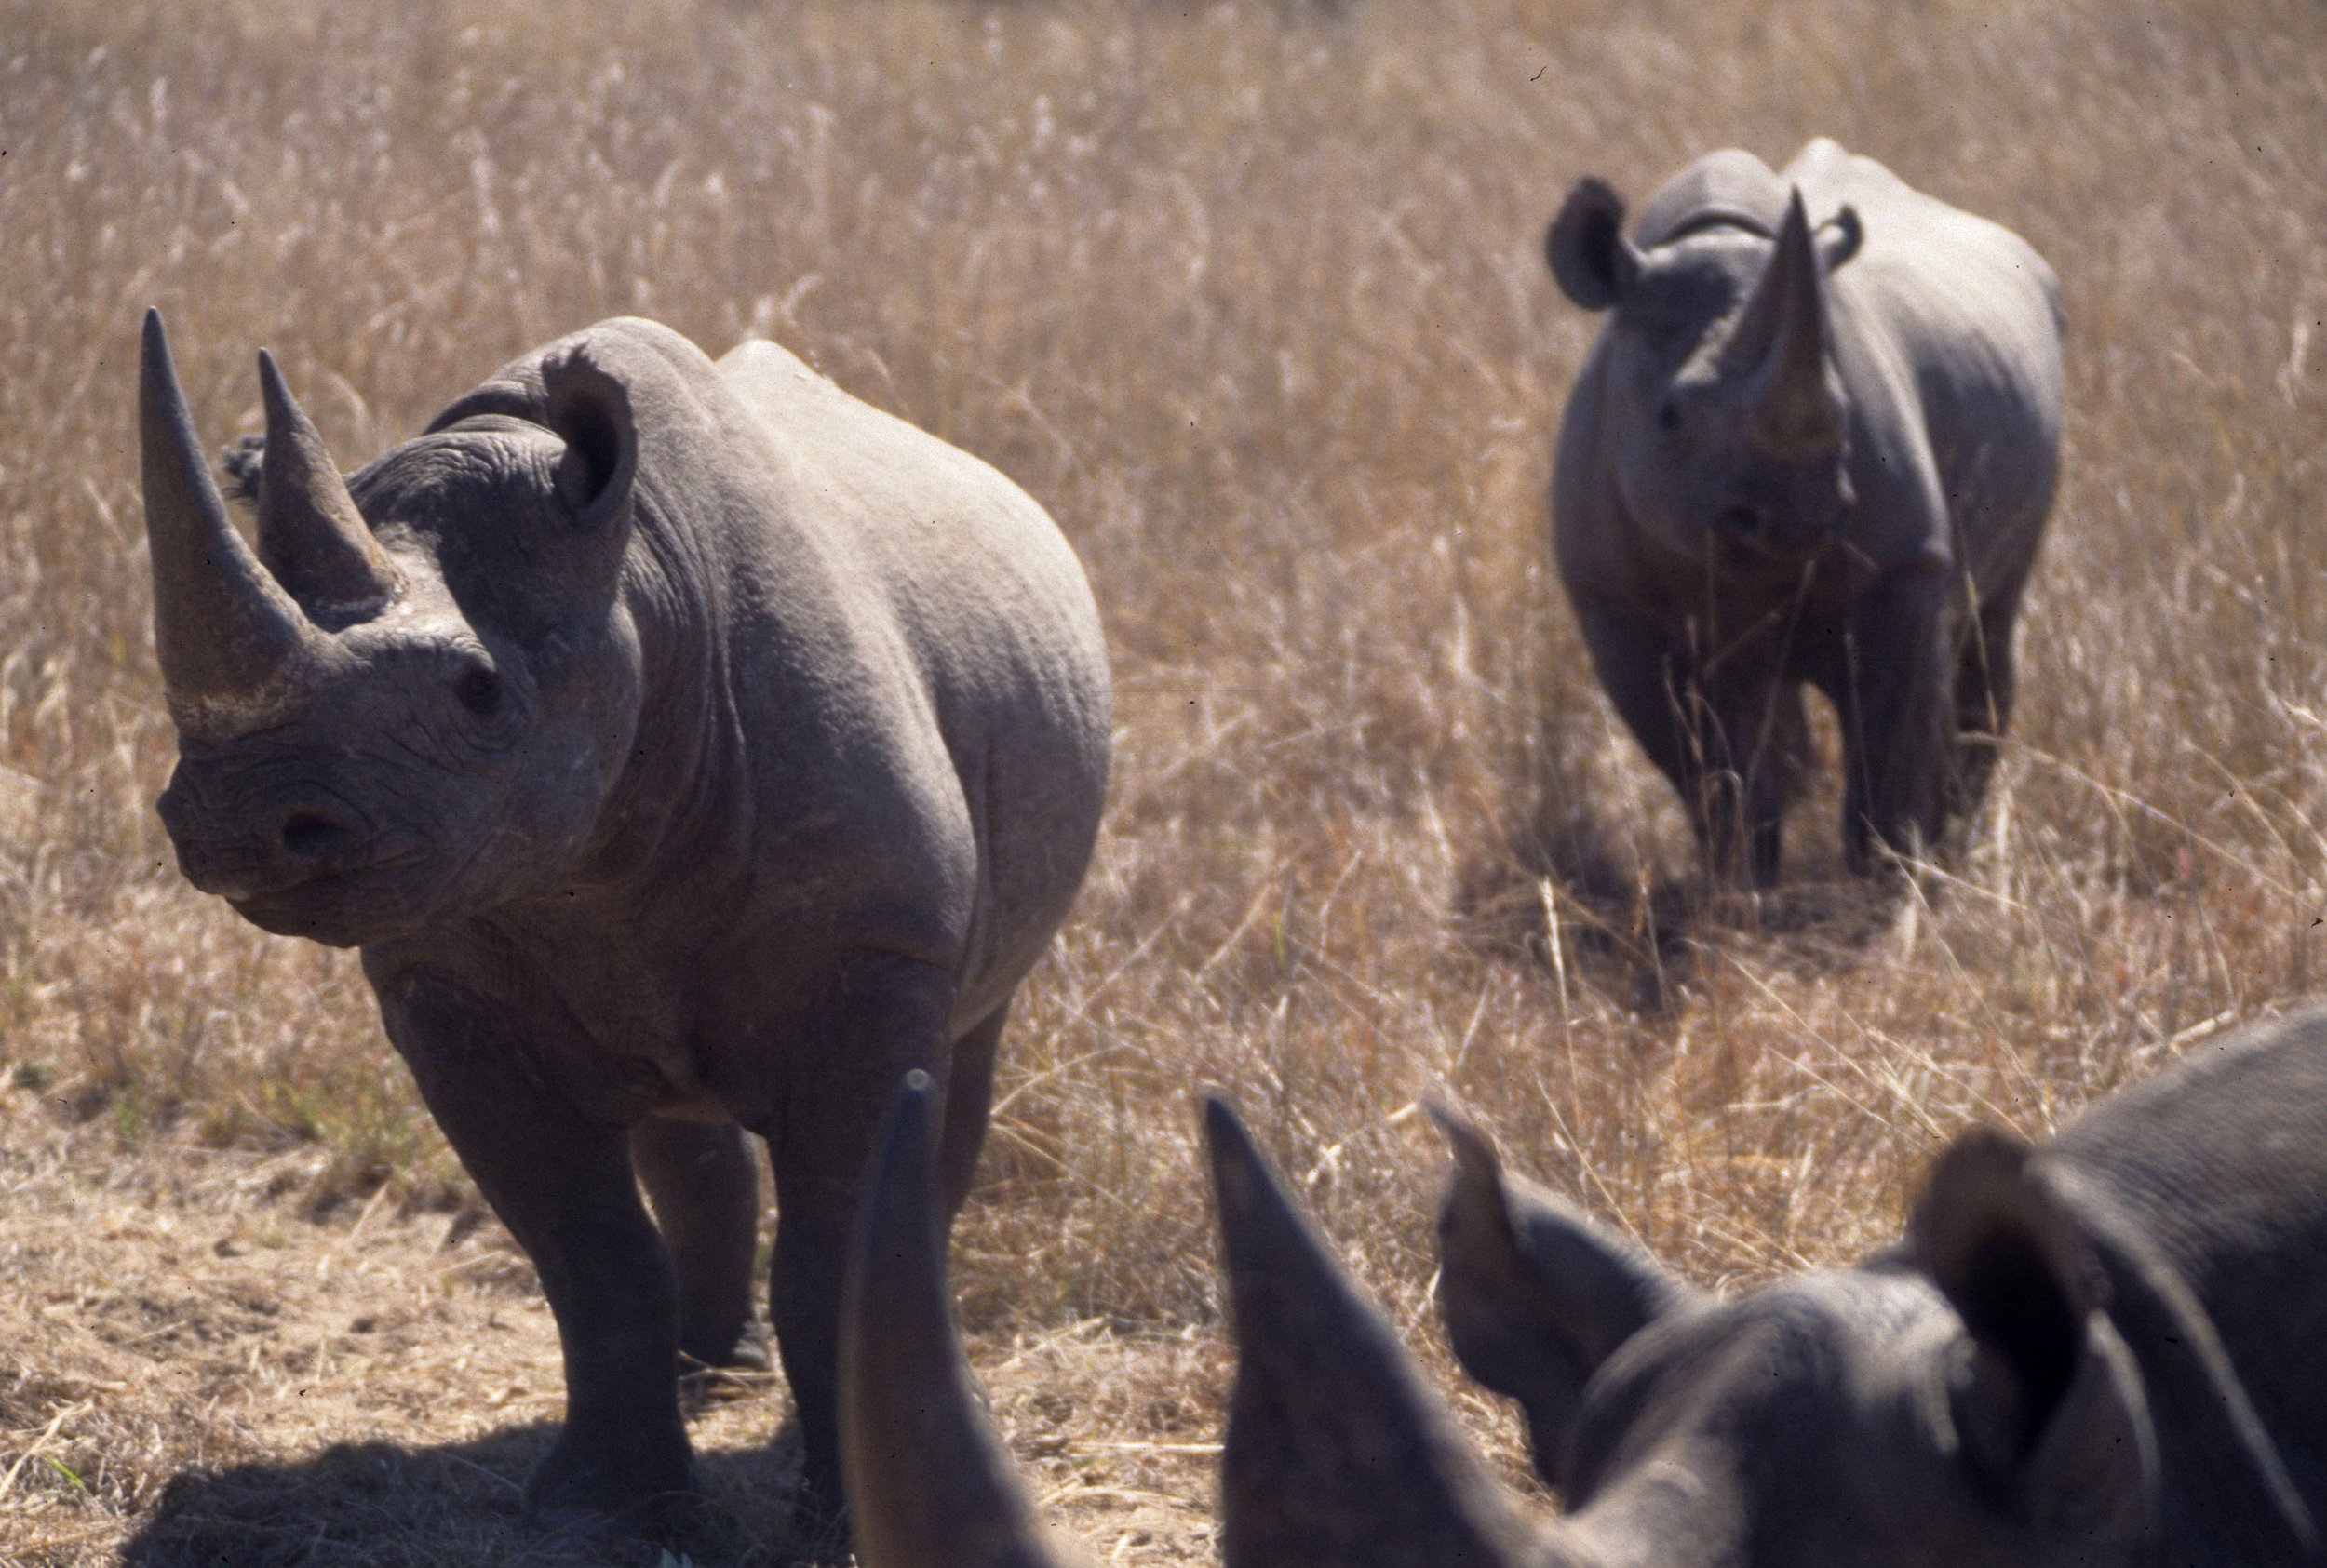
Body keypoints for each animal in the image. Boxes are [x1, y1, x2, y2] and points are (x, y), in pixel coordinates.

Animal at [134, 308, 1111, 1534]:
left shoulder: (877, 947)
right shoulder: (444, 980)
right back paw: (711, 1366)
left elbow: (837, 1242)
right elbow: (587, 1253)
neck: (640, 588)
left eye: (479, 693)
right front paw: (601, 1505)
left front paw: (843, 1516)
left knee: (971, 1044)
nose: (238, 818)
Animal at [1546, 139, 2064, 882]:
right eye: (1670, 416)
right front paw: (1739, 887)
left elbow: (1889, 745)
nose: (1796, 516)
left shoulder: (1904, 566)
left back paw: (1952, 847)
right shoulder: (1612, 598)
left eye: (1843, 413)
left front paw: (1885, 884)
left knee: (1988, 626)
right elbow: (1705, 767)